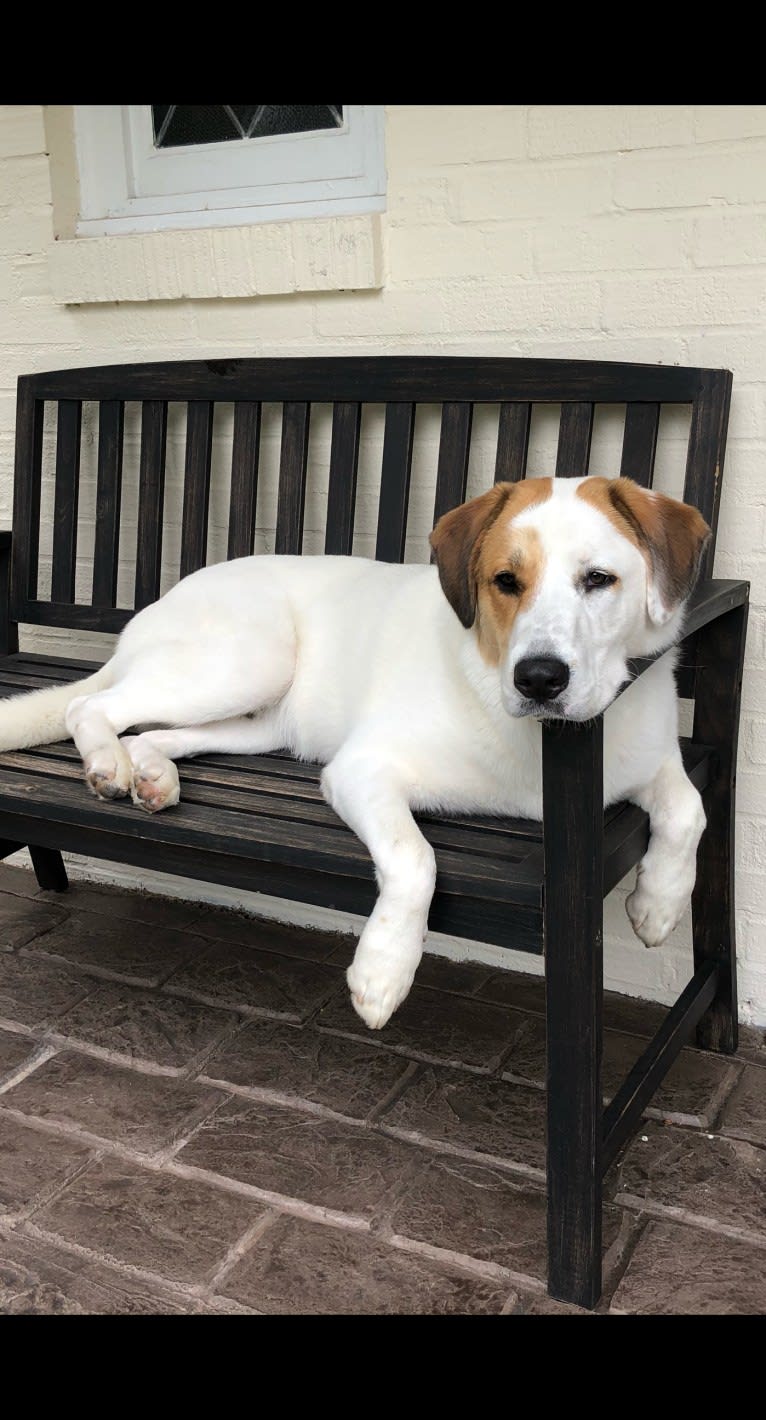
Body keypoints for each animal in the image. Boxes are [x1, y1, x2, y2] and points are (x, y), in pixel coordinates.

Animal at [0, 479, 710, 1033]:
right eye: (506, 582)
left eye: (599, 580)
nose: (539, 679)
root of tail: (157, 603)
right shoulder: (362, 770)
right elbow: (415, 858)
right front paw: (383, 971)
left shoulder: (650, 762)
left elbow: (690, 807)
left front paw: (658, 906)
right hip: (244, 661)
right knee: (88, 707)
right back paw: (106, 765)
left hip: (262, 721)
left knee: (149, 733)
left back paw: (151, 774)